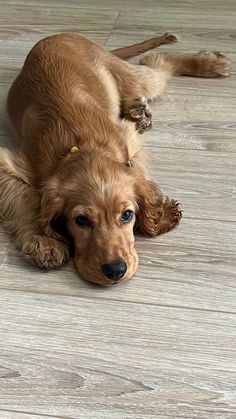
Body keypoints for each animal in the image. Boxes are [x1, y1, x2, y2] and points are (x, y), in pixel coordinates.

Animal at [0, 33, 231, 286]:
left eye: (127, 215)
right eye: (81, 220)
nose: (115, 270)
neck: (82, 149)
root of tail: (60, 35)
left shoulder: (128, 140)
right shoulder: (14, 163)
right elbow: (25, 200)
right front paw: (44, 242)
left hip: (129, 76)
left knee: (156, 62)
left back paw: (211, 63)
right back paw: (137, 110)